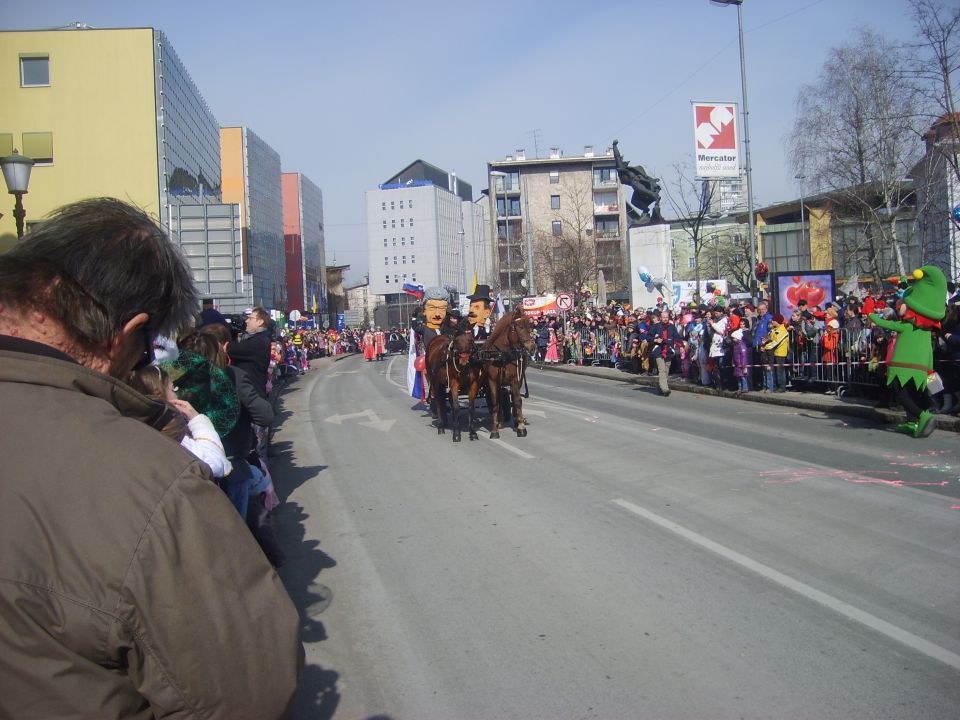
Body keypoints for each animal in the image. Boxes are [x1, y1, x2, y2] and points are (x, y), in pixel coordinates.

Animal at [480, 306, 540, 438]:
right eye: (520, 326)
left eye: (529, 326)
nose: (532, 347)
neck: (501, 355)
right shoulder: (492, 381)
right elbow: (495, 403)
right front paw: (494, 429)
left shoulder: (515, 380)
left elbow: (517, 401)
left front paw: (521, 427)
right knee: (499, 399)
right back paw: (500, 420)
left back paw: (515, 419)